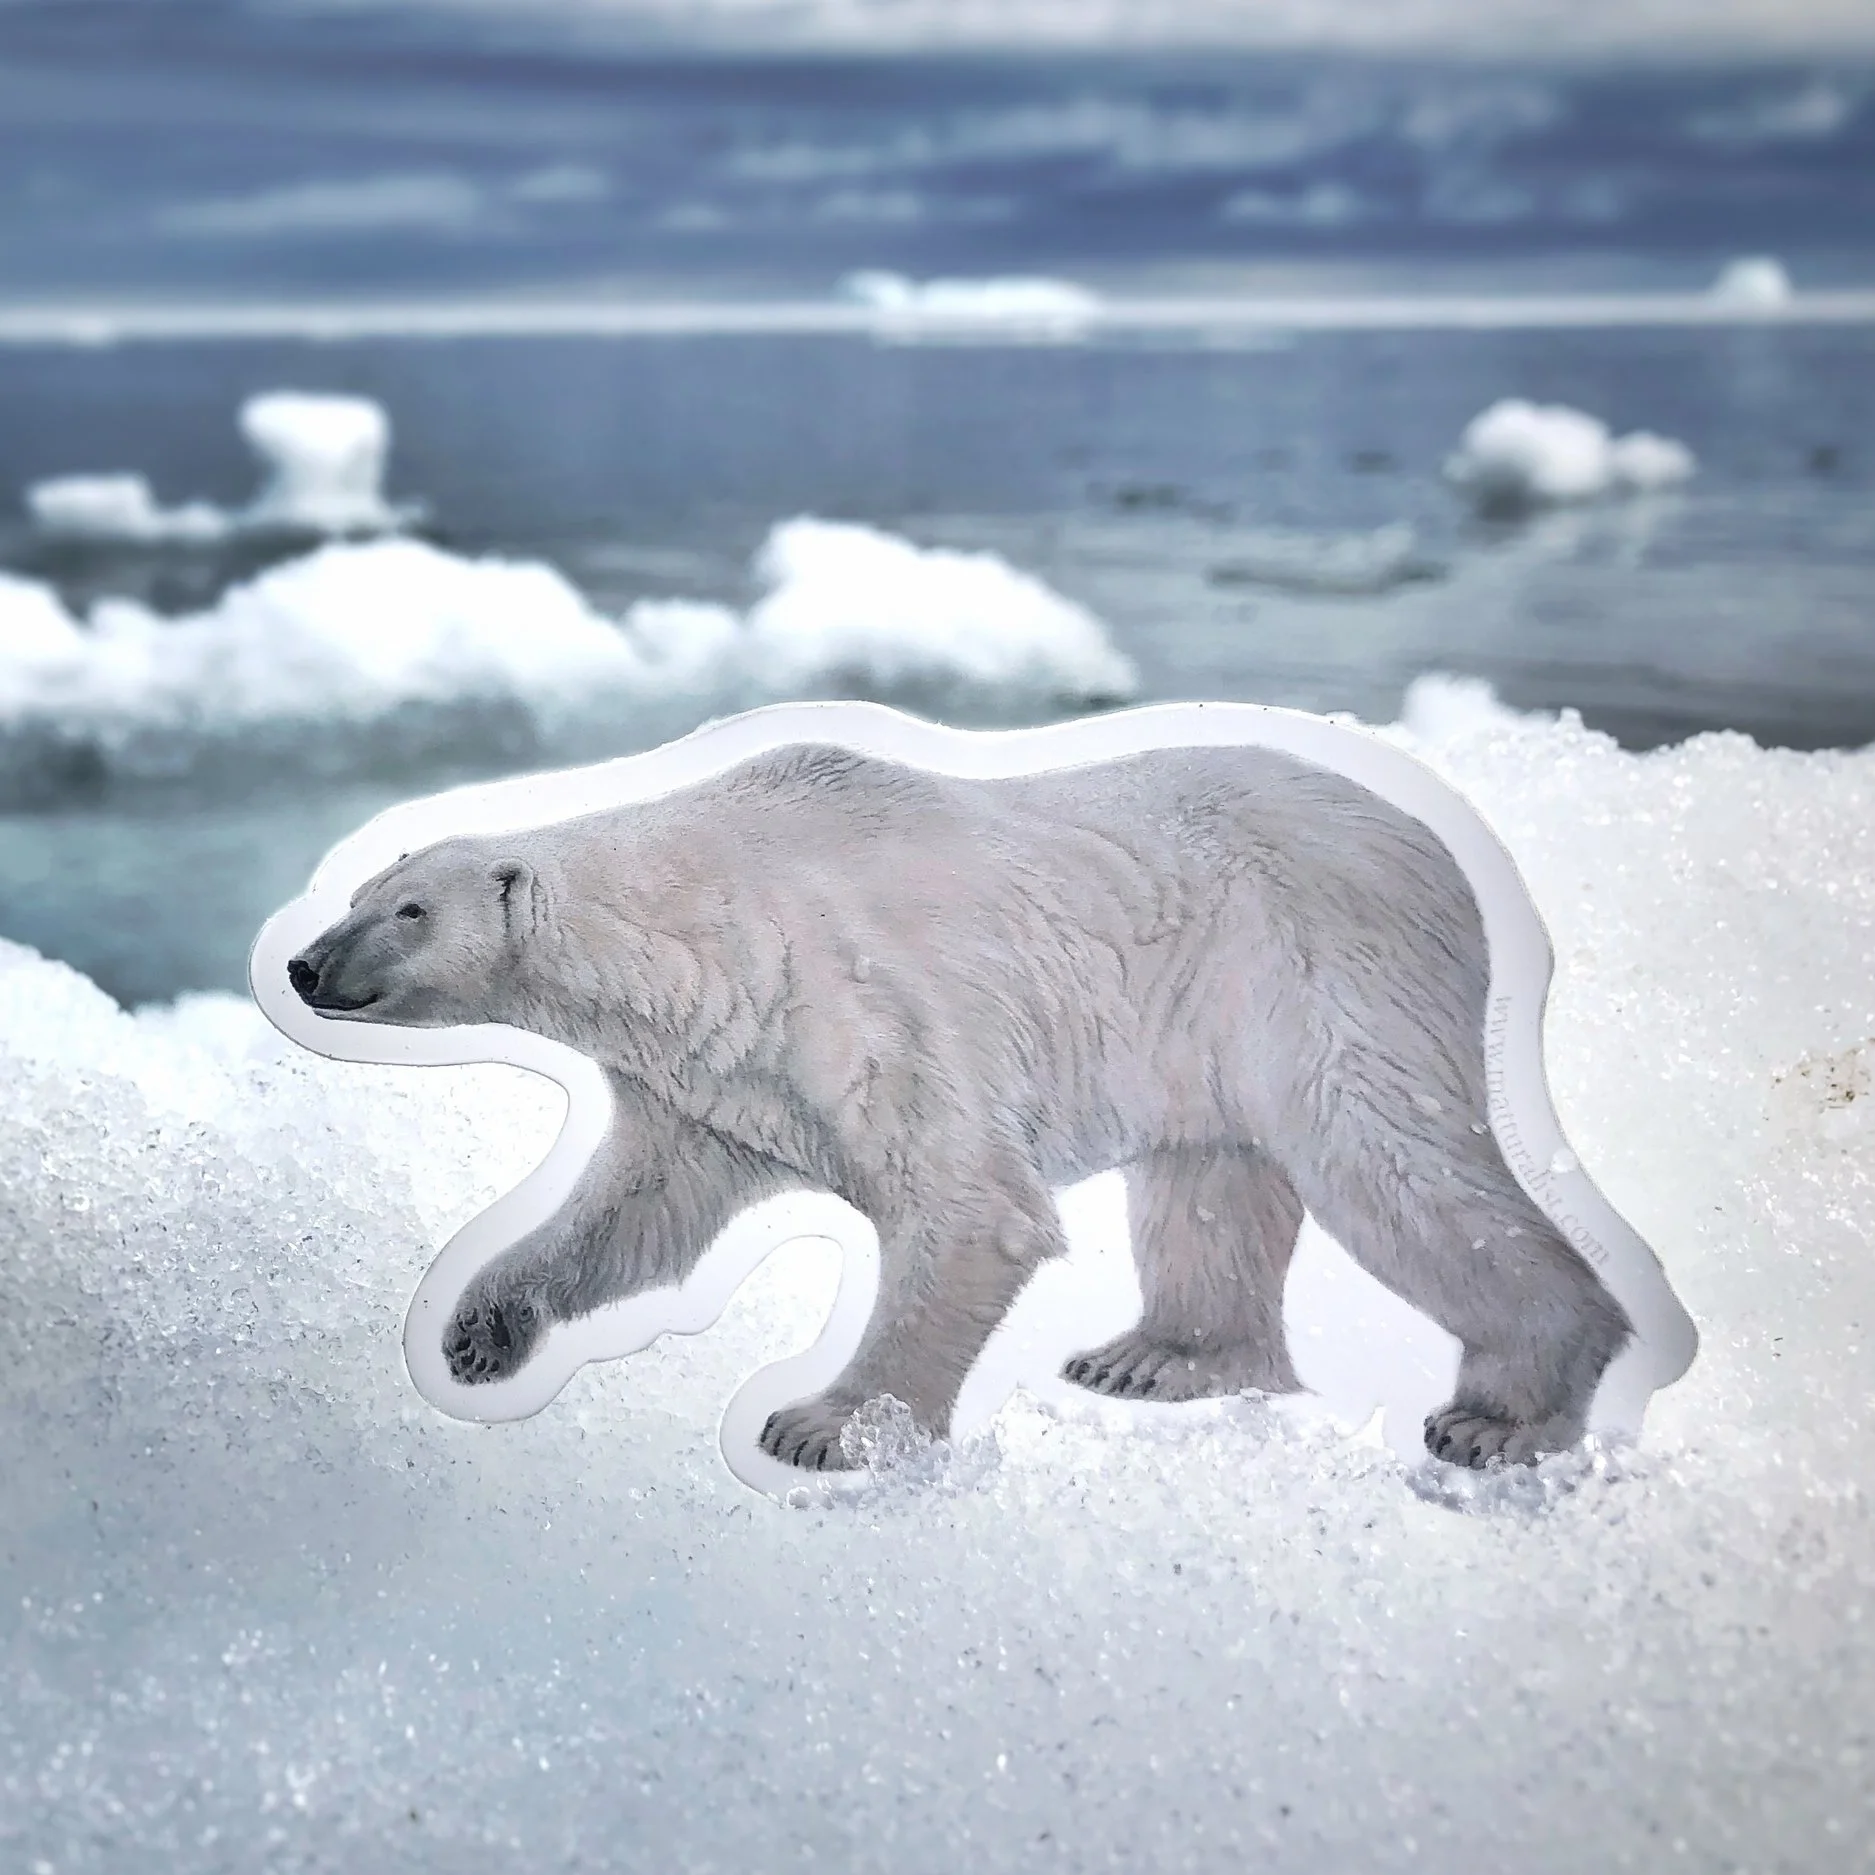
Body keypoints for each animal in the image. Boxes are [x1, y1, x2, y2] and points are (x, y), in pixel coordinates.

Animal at [287, 741, 1631, 1471]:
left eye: (410, 910)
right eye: (355, 891)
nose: (299, 965)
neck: (699, 921)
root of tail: (1451, 850)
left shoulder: (858, 997)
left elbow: (973, 1207)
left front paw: (824, 1428)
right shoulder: (715, 1075)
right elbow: (638, 1214)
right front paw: (478, 1330)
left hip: (1318, 966)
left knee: (1388, 1156)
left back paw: (1505, 1417)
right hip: (1202, 1020)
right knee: (1207, 1179)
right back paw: (1155, 1357)